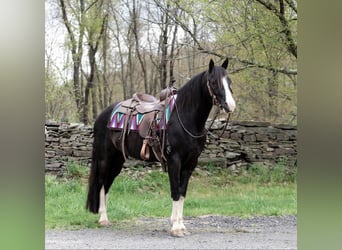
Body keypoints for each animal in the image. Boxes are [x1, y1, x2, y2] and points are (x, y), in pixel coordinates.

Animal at [86, 58, 235, 236]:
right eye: (213, 82)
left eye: (229, 81)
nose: (231, 105)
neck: (185, 118)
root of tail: (103, 115)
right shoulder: (174, 160)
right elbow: (175, 191)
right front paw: (176, 228)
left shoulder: (190, 163)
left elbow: (182, 193)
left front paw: (180, 225)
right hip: (105, 158)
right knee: (102, 183)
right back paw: (103, 218)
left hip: (118, 159)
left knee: (108, 184)